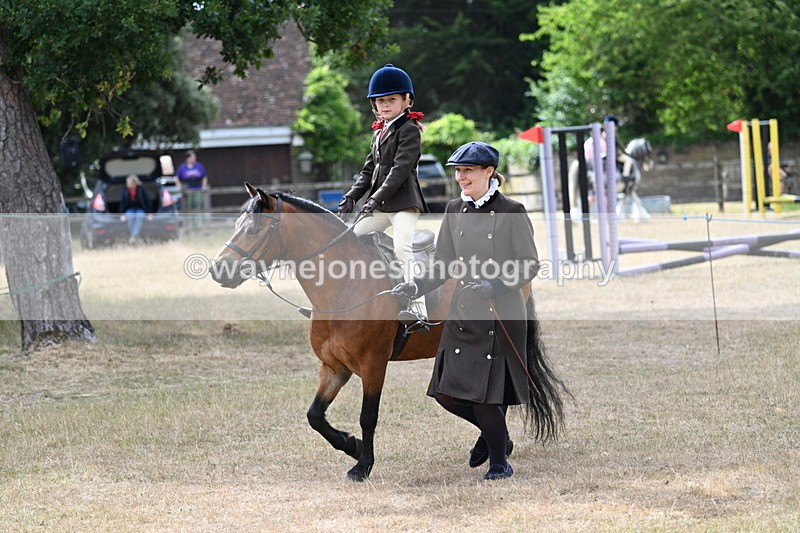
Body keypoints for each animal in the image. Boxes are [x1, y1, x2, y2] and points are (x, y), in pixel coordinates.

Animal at [210, 183, 567, 481]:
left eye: (254, 229)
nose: (218, 270)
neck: (345, 288)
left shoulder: (373, 365)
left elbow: (368, 416)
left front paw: (362, 465)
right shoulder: (333, 367)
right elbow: (315, 415)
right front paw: (351, 445)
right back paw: (488, 447)